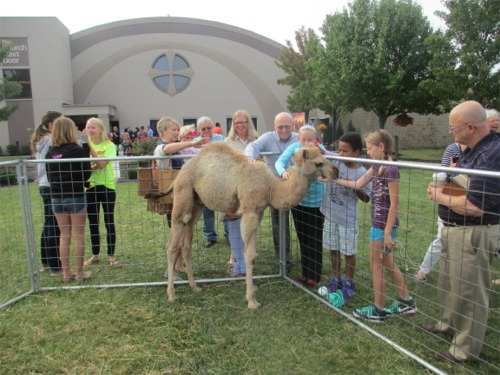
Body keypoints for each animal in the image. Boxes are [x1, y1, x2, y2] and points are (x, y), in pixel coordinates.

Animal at [167, 142, 336, 310]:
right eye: (318, 163)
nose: (336, 171)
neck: (271, 187)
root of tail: (182, 170)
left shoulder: (259, 213)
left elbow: (252, 254)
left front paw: (252, 291)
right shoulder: (249, 212)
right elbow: (249, 255)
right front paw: (252, 300)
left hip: (197, 204)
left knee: (186, 244)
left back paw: (194, 286)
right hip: (182, 194)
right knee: (173, 245)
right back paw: (171, 294)